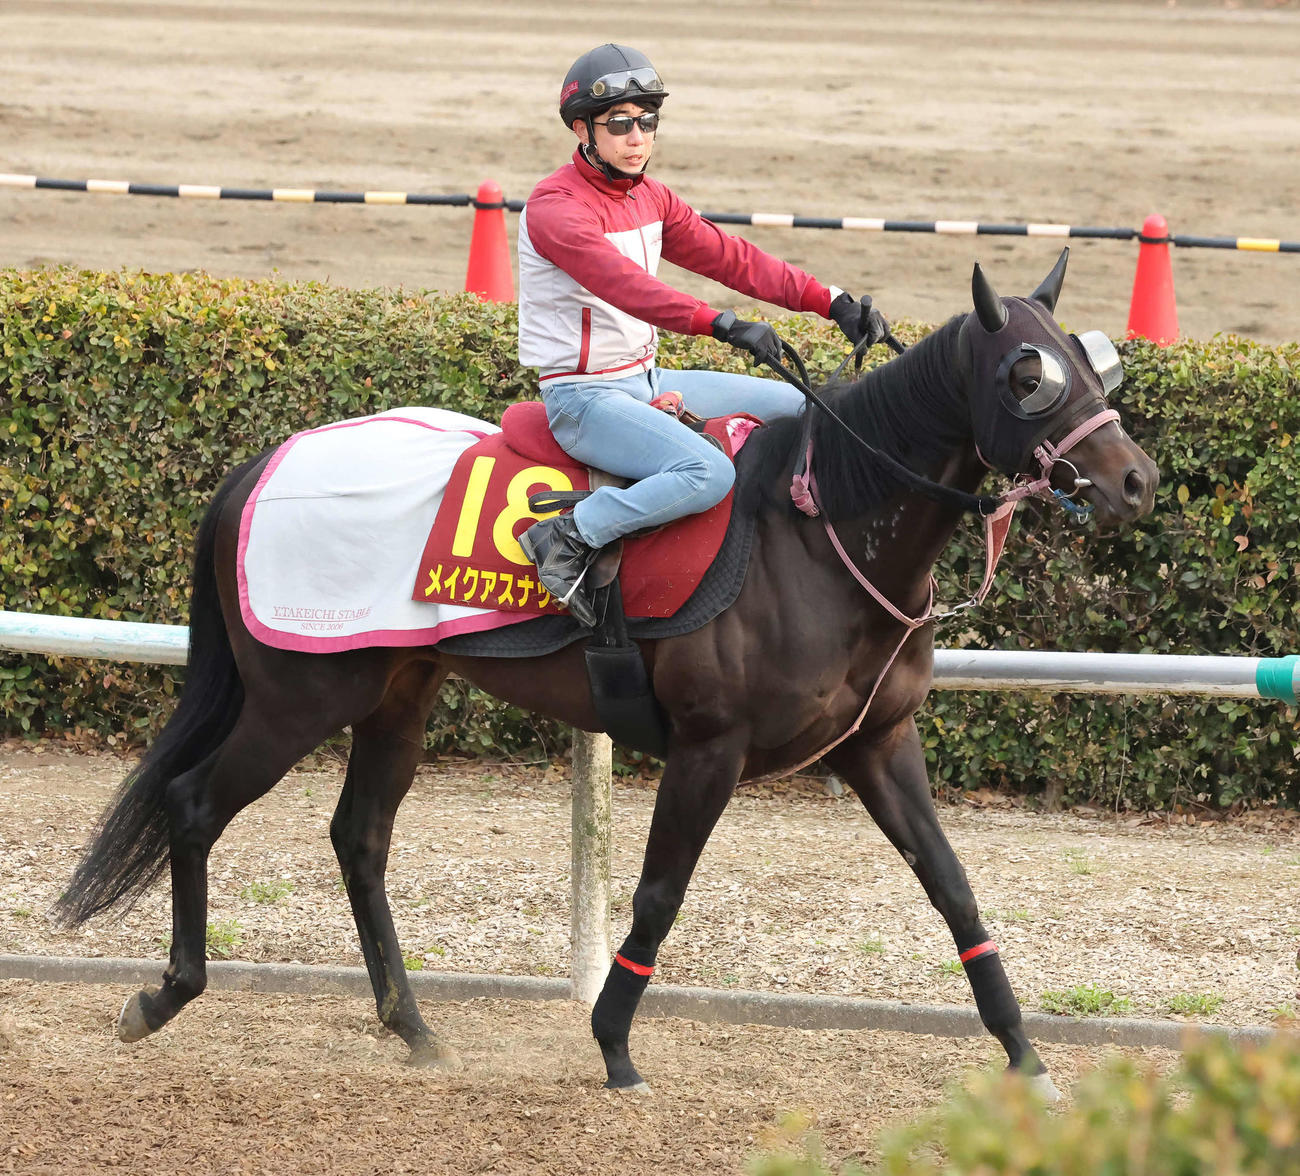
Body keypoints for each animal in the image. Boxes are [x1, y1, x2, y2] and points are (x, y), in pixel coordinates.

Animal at [58, 250, 1157, 1098]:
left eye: (1091, 361)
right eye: (1025, 376)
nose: (1135, 480)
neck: (818, 526)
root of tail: (264, 464)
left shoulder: (878, 743)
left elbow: (955, 890)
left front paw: (1025, 1055)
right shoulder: (710, 747)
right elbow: (660, 892)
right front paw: (615, 1045)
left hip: (397, 693)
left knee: (359, 839)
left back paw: (411, 1026)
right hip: (302, 693)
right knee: (194, 803)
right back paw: (164, 994)